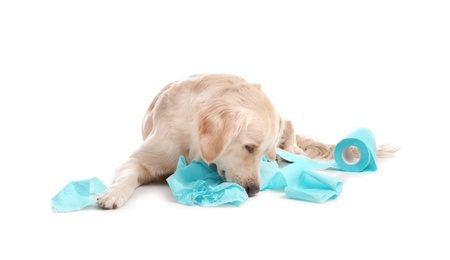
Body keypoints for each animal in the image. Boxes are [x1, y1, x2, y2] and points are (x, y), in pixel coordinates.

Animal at [97, 73, 398, 209]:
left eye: (262, 154)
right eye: (249, 147)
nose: (254, 190)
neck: (190, 138)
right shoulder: (142, 156)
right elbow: (127, 174)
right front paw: (112, 193)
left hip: (282, 121)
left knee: (291, 128)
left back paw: (294, 153)